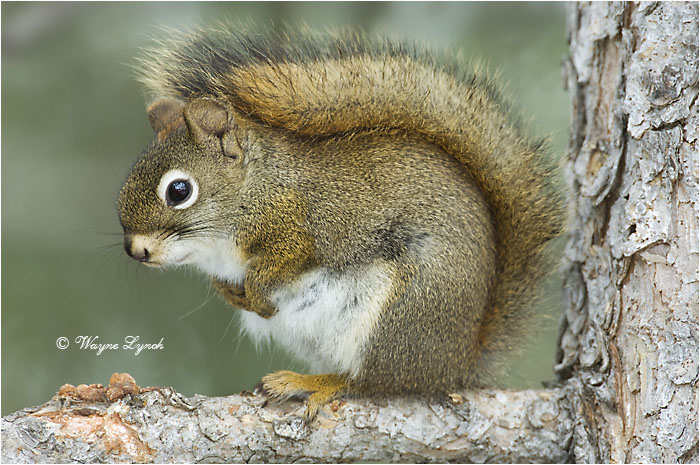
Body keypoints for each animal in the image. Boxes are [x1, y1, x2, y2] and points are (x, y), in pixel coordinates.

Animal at [117, 27, 564, 421]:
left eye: (179, 190)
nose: (136, 251)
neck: (253, 188)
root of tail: (456, 364)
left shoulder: (297, 228)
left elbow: (284, 263)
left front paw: (258, 295)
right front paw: (234, 294)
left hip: (400, 317)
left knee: (374, 382)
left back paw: (313, 383)